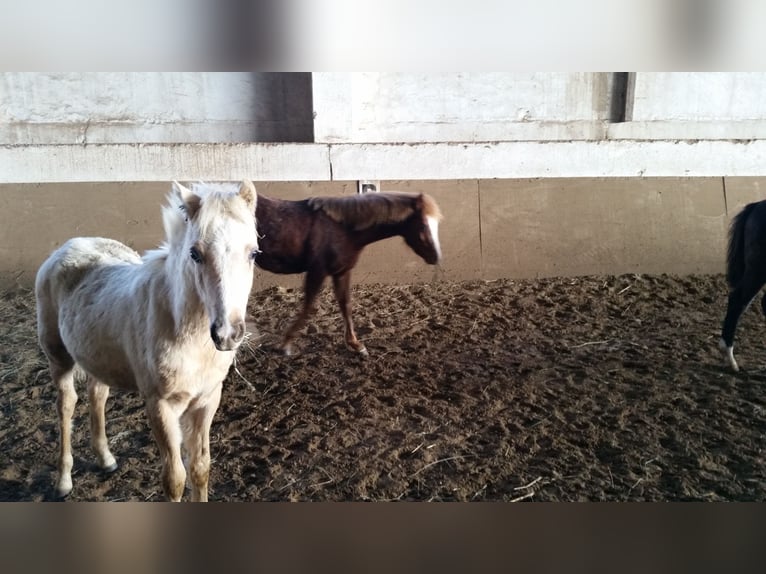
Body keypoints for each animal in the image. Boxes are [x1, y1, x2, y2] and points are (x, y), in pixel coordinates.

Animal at [35, 180, 259, 501]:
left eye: (253, 253)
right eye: (195, 254)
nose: (227, 334)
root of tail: (69, 245)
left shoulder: (207, 399)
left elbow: (200, 468)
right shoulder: (160, 406)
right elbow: (175, 479)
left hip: (97, 355)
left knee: (97, 393)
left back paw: (106, 460)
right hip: (58, 356)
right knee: (66, 405)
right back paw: (64, 481)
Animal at [254, 190, 443, 356]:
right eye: (423, 225)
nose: (436, 257)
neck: (342, 229)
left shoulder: (342, 272)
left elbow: (346, 305)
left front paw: (356, 345)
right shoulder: (317, 271)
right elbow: (308, 307)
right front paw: (285, 344)